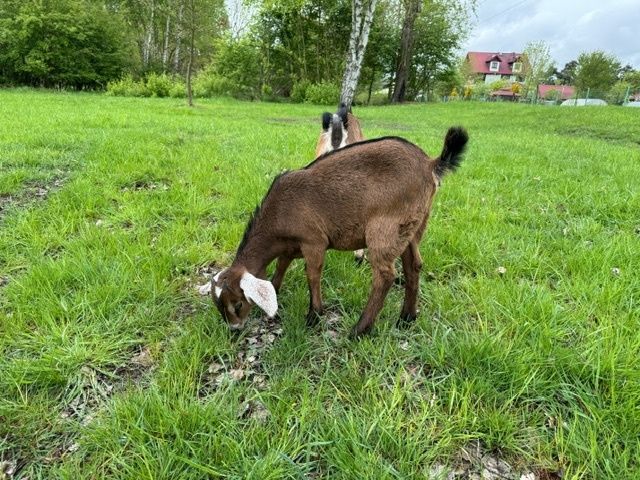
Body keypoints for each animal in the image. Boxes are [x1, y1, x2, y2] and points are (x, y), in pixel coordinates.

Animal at [212, 127, 468, 338]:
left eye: (237, 304)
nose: (234, 329)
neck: (278, 213)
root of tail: (430, 164)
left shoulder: (313, 241)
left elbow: (312, 274)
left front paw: (314, 315)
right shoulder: (291, 246)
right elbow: (281, 266)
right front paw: (276, 289)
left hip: (386, 228)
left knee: (385, 275)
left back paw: (360, 329)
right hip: (412, 227)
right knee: (413, 265)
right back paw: (406, 317)